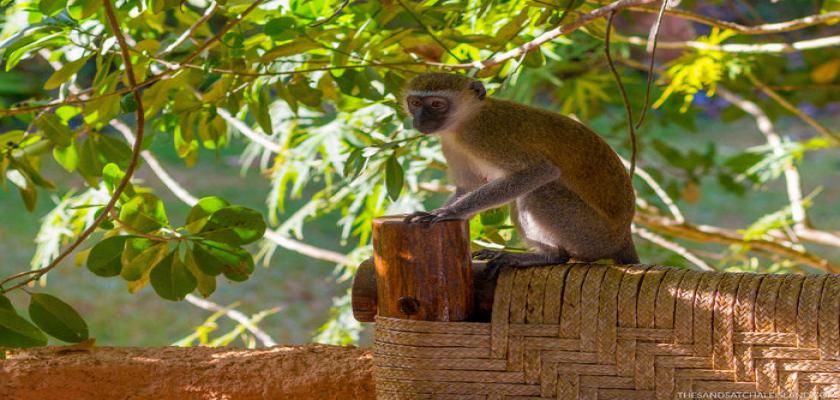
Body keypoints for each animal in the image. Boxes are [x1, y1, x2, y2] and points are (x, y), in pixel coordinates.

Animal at [402, 74, 636, 270]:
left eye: (436, 104)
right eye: (415, 103)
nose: (420, 120)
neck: (465, 120)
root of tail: (624, 237)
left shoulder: (484, 136)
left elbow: (541, 171)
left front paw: (449, 212)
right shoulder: (451, 145)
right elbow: (468, 187)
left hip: (591, 235)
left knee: (539, 190)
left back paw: (551, 255)